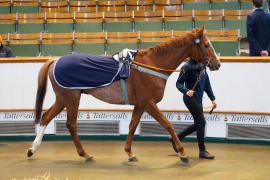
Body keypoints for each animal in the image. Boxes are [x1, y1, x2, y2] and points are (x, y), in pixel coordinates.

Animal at [26, 27, 219, 165]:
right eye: (206, 45)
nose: (217, 64)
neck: (151, 65)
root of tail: (56, 60)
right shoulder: (149, 103)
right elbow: (168, 125)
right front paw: (183, 153)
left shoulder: (140, 105)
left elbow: (132, 126)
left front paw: (130, 153)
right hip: (71, 99)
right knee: (71, 125)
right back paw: (85, 154)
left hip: (62, 99)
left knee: (45, 117)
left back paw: (32, 149)